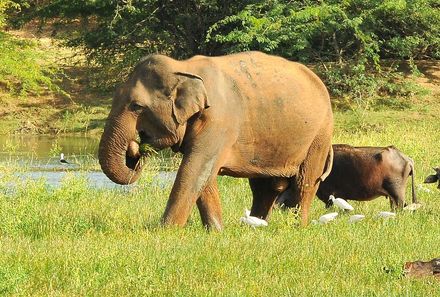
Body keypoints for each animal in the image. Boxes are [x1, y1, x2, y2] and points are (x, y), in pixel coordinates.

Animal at [99, 51, 334, 229]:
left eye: (137, 106)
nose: (136, 147)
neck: (183, 67)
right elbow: (204, 175)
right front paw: (215, 231)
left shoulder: (219, 121)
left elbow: (194, 169)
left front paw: (165, 231)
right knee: (264, 187)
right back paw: (256, 226)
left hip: (320, 134)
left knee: (305, 182)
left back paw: (297, 227)